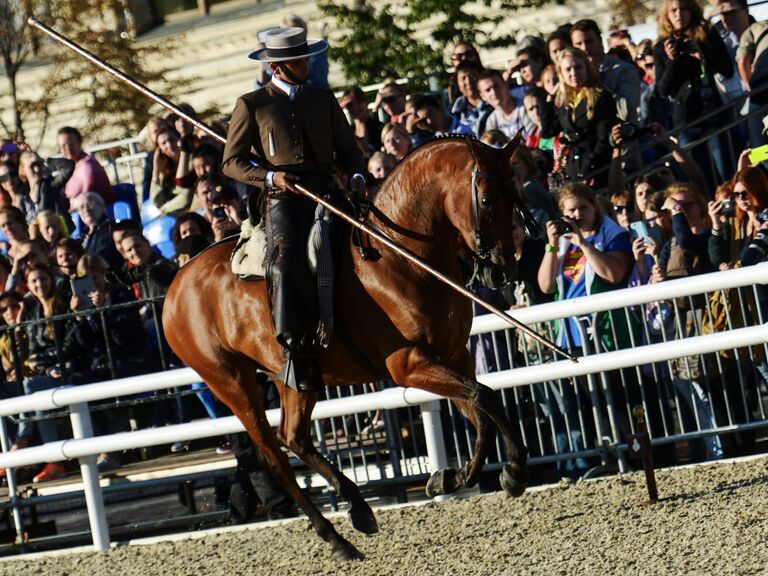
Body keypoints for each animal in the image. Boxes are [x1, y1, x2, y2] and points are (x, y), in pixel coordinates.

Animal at [164, 137, 528, 560]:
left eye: (515, 194)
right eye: (485, 199)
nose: (501, 270)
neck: (399, 256)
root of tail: (177, 283)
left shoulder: (453, 356)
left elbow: (479, 407)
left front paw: (454, 477)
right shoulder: (410, 364)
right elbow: (483, 397)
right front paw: (510, 472)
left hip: (292, 375)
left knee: (295, 437)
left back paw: (358, 510)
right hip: (231, 382)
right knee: (273, 456)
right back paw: (335, 537)